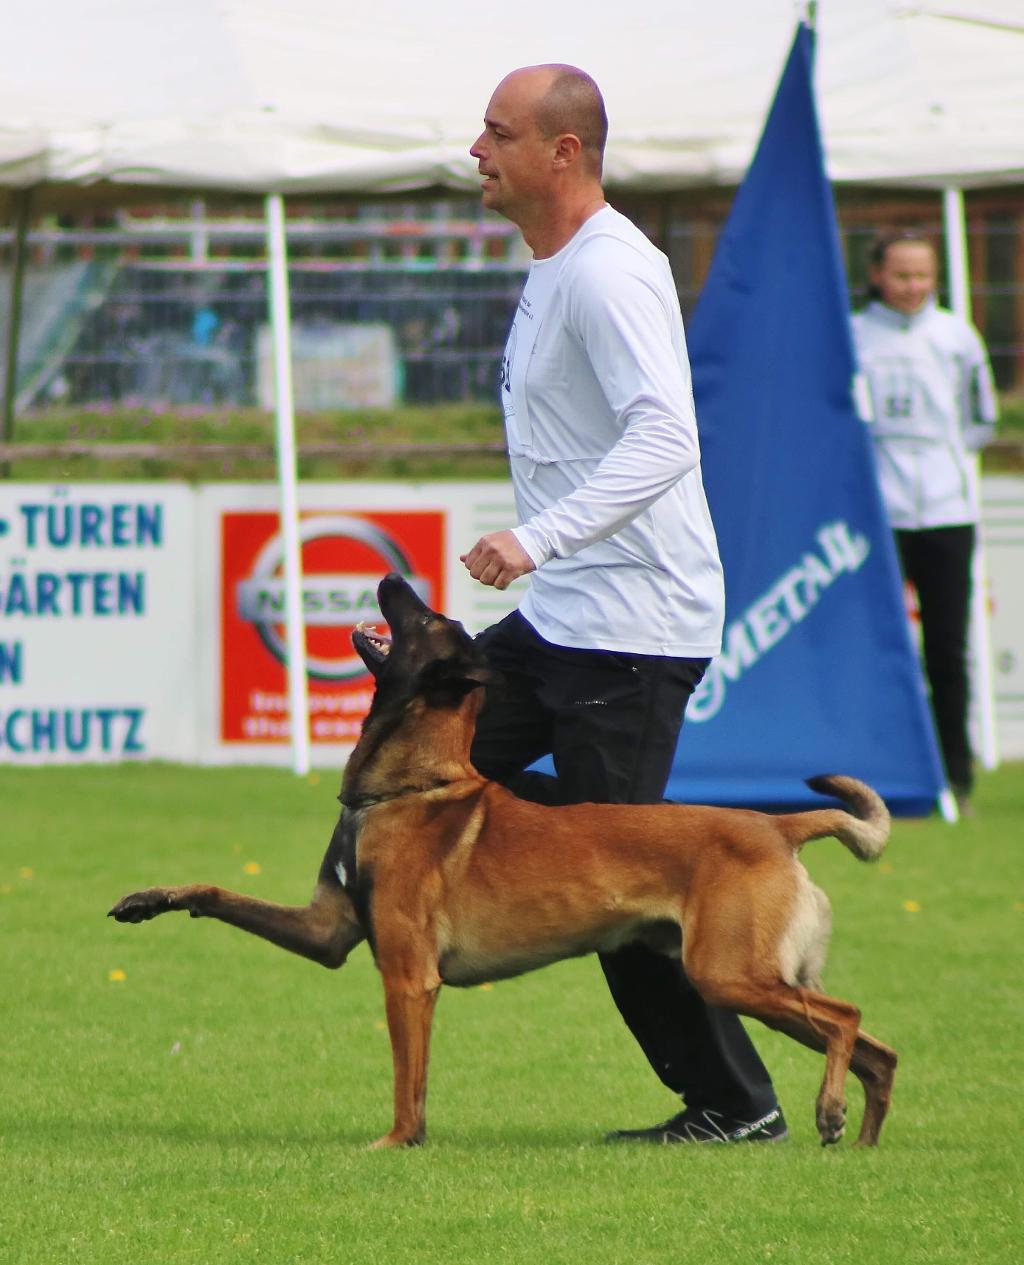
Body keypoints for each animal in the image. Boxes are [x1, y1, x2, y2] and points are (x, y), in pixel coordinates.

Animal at [110, 574, 896, 1148]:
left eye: (425, 617)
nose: (392, 576)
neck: (407, 786)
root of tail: (777, 825)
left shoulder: (408, 979)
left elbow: (408, 1080)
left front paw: (398, 1142)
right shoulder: (325, 934)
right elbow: (215, 891)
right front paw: (151, 897)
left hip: (728, 973)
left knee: (847, 1016)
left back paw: (829, 1114)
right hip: (750, 979)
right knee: (873, 1049)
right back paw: (860, 1139)